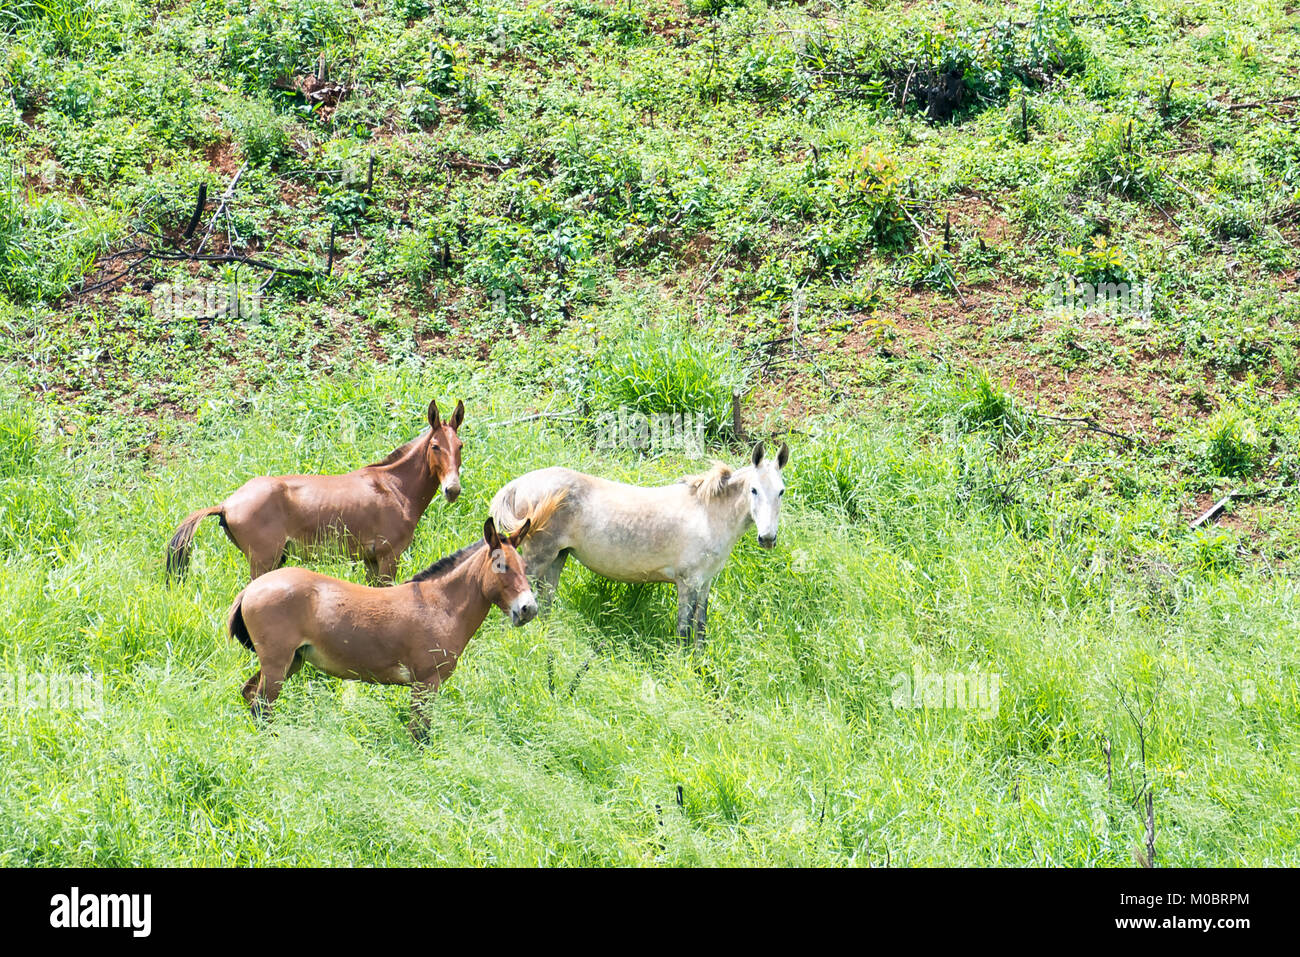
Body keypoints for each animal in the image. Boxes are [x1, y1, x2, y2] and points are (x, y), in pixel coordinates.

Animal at [488, 442, 785, 650]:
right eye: (754, 490)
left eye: (781, 491)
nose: (767, 538)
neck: (708, 514)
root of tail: (520, 484)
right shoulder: (687, 582)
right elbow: (684, 629)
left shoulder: (705, 583)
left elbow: (700, 627)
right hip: (538, 558)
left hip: (557, 558)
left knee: (545, 605)